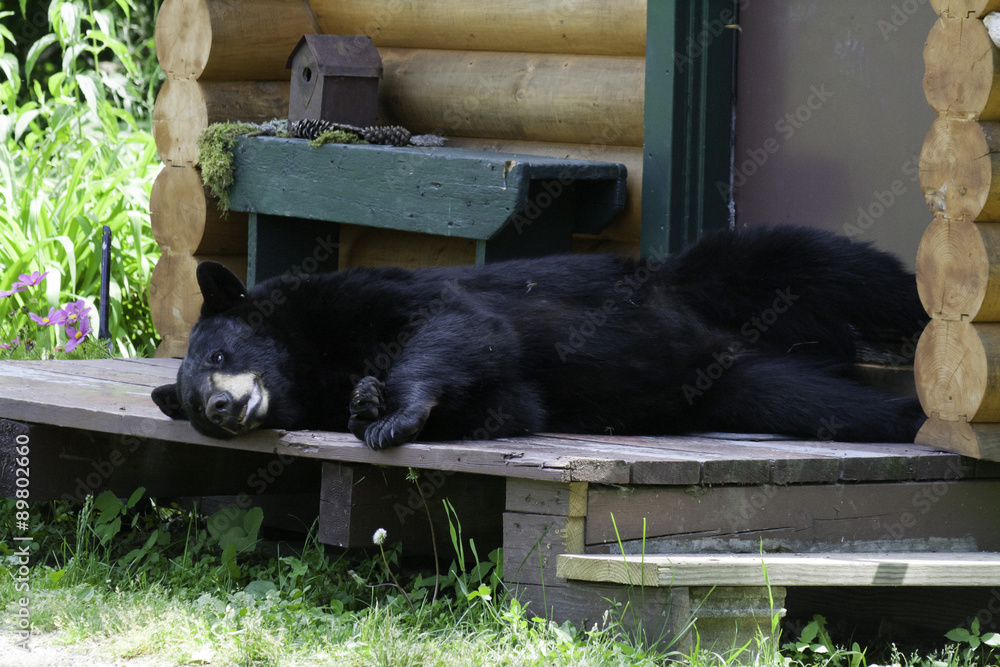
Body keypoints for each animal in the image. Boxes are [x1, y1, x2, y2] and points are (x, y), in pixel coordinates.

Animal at [152, 225, 928, 448]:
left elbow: (456, 324)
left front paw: (391, 409)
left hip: (713, 278)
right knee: (819, 401)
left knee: (840, 266)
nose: (219, 406)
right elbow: (510, 405)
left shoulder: (362, 296)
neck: (311, 361)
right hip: (736, 387)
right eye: (190, 404)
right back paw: (897, 410)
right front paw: (367, 402)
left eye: (220, 353)